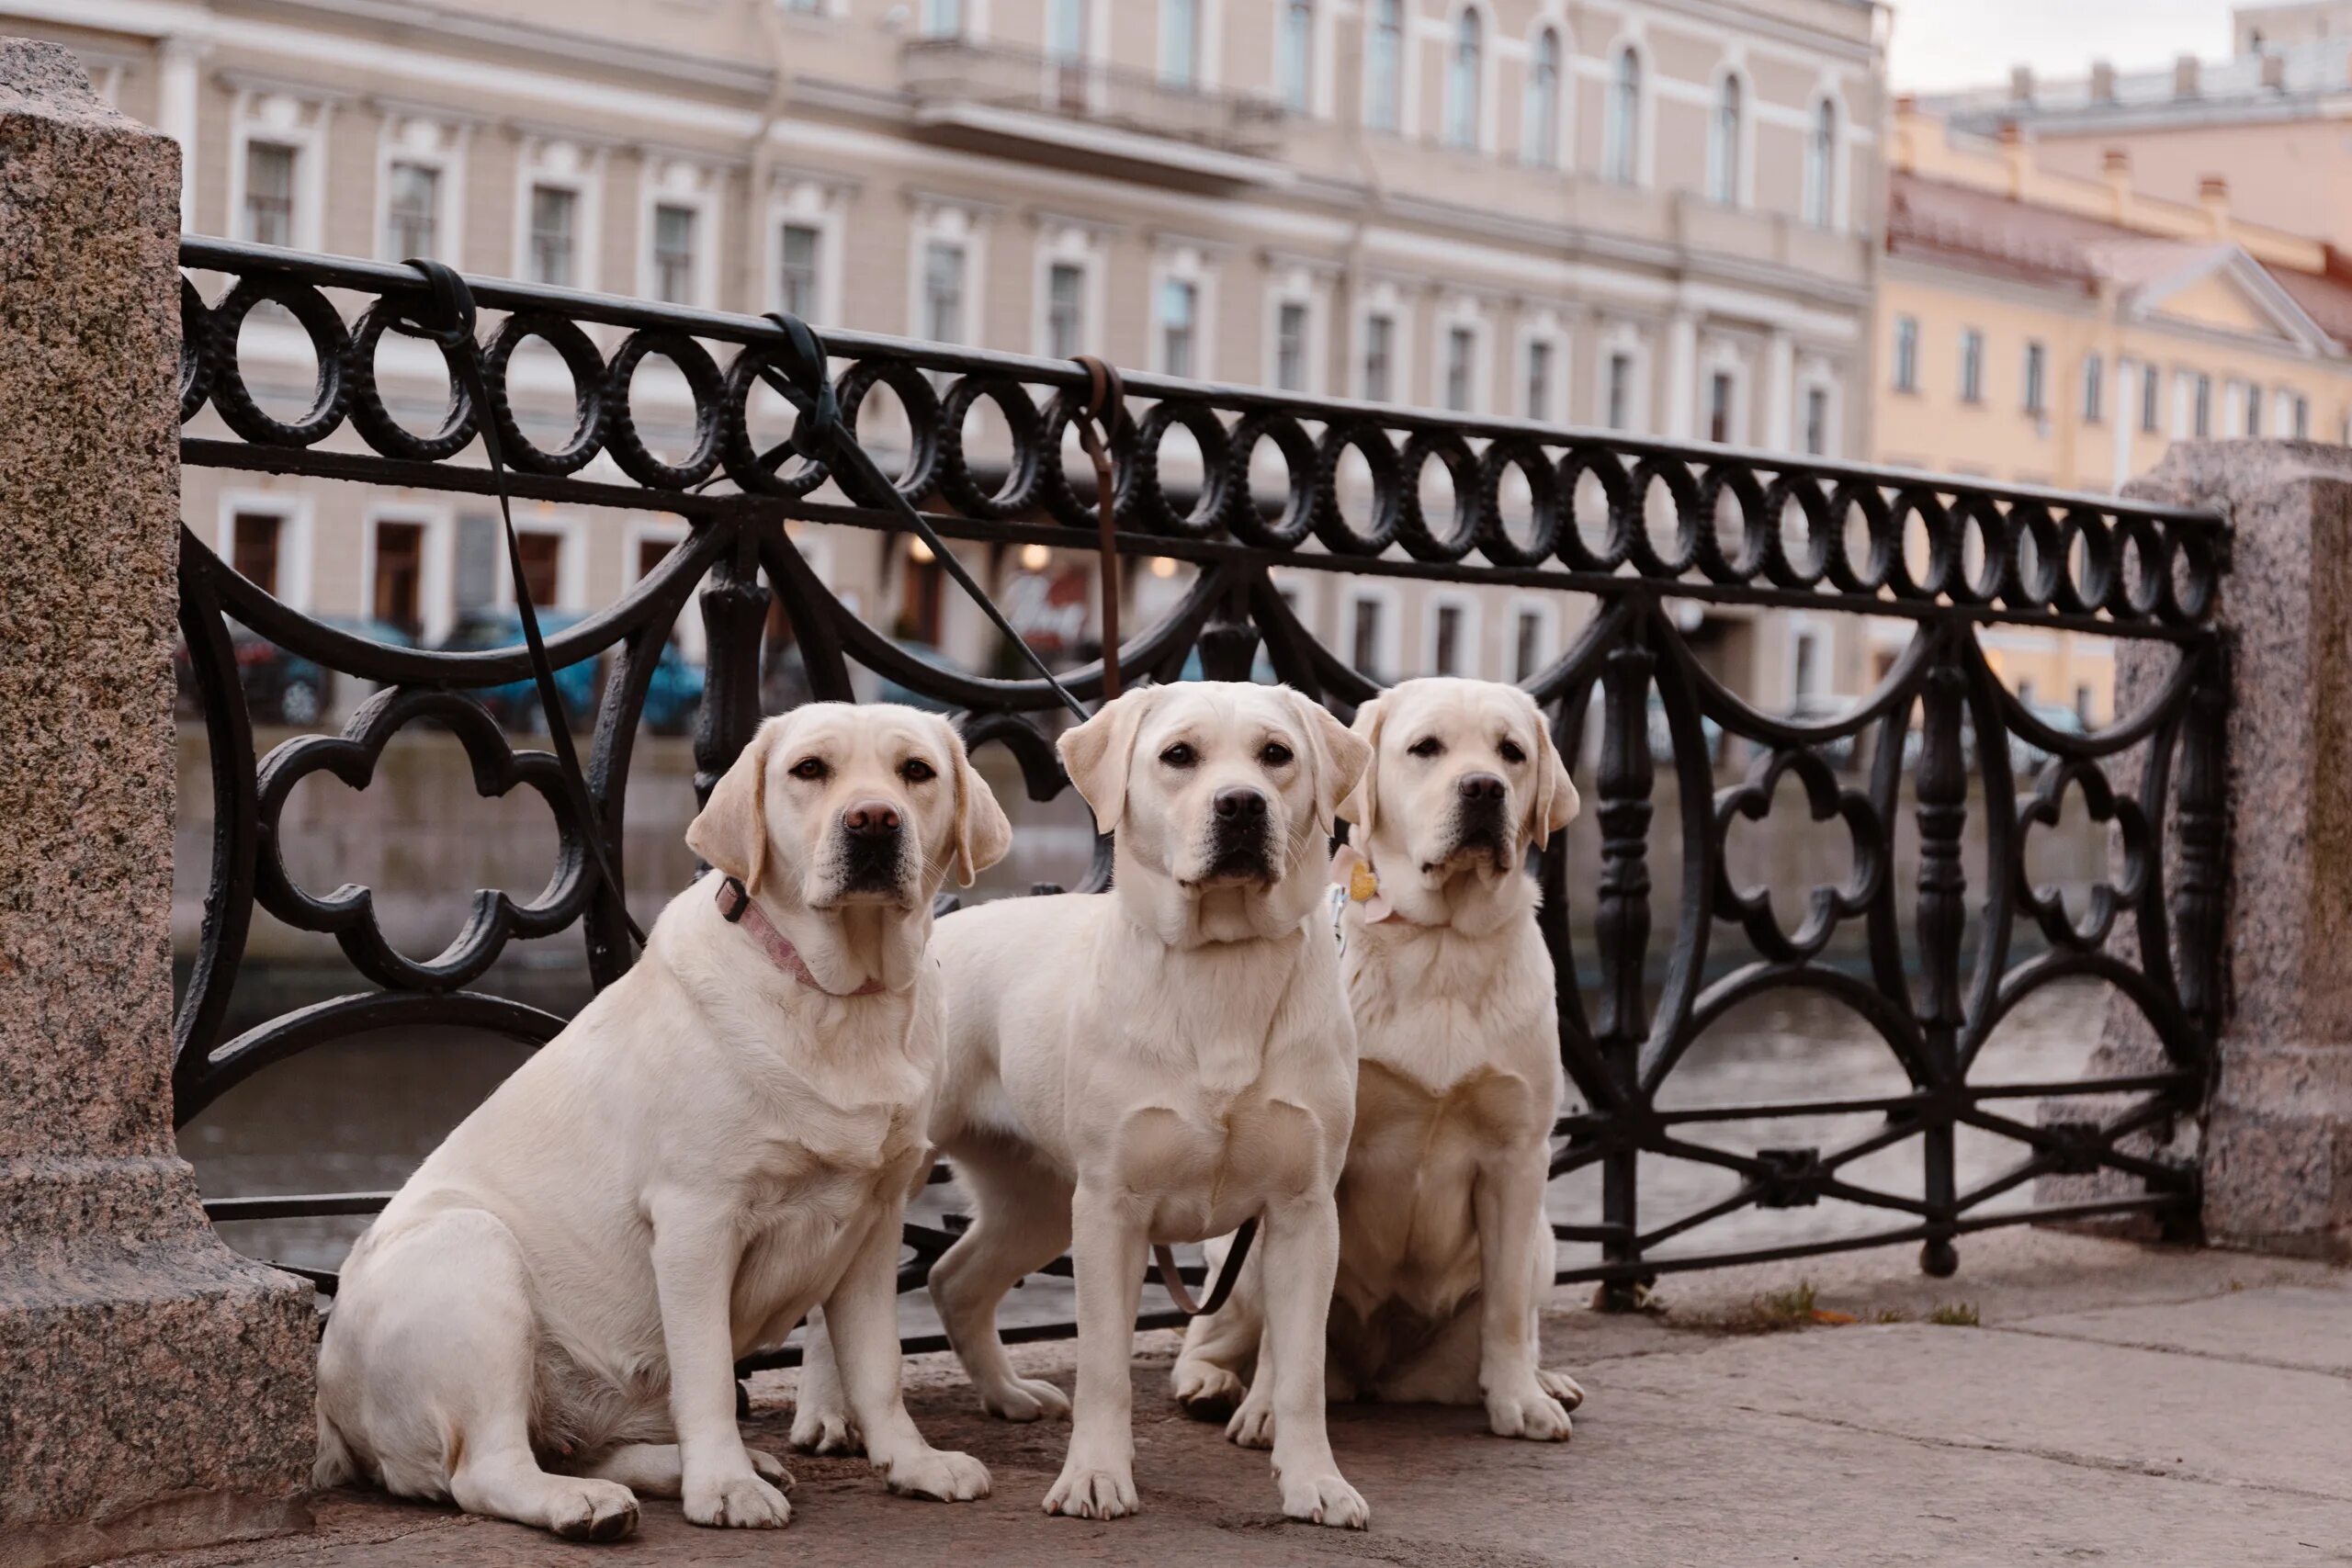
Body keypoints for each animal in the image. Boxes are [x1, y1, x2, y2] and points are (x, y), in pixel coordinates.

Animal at [315, 705, 1011, 1541]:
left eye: (916, 772)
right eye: (810, 770)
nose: (873, 820)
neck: (840, 999)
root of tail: (330, 1404)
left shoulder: (874, 1224)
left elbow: (878, 1367)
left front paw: (913, 1462)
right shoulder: (697, 1218)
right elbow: (707, 1373)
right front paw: (726, 1487)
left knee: (582, 1446)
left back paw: (694, 1466)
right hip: (472, 1255)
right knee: (487, 1470)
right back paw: (590, 1502)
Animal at [795, 682, 1374, 1523]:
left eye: (1277, 755)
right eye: (1179, 755)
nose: (1241, 804)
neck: (1221, 965)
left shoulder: (1303, 1210)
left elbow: (1300, 1370)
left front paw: (1315, 1482)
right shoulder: (1111, 1207)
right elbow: (1104, 1363)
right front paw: (1096, 1477)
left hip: (1034, 1195)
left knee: (954, 1279)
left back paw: (1008, 1393)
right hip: (908, 1179)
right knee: (829, 1299)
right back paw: (825, 1414)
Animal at [1170, 677, 1589, 1438]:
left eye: (1511, 752)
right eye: (1426, 748)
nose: (1483, 788)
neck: (1441, 941)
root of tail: (1372, 1377)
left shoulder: (1518, 1156)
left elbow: (1507, 1305)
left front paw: (1520, 1399)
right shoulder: (1306, 1160)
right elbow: (1283, 1326)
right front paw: (1268, 1408)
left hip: (1544, 1240)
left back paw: (1542, 1380)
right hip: (1229, 1259)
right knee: (1215, 1330)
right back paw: (1211, 1383)